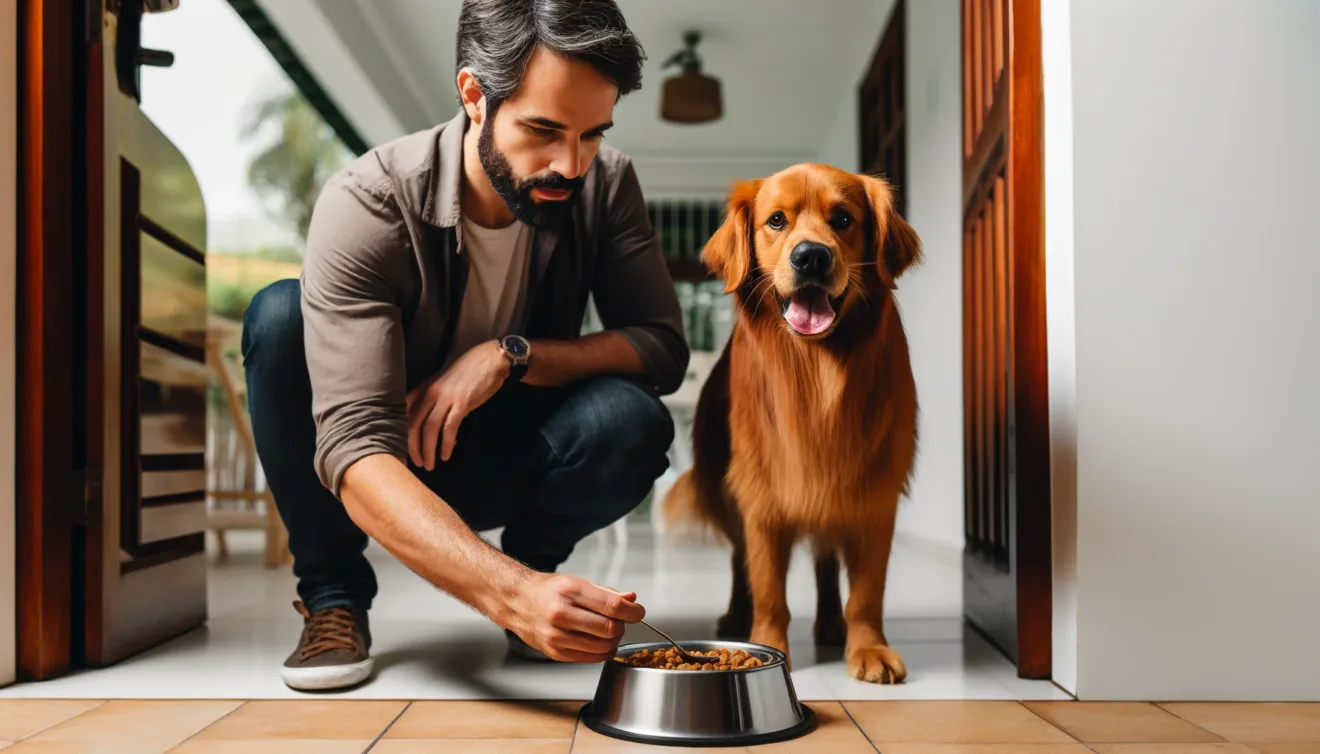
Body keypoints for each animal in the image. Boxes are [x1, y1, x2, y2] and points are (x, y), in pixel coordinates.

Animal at [665, 161, 924, 686]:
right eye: (777, 221)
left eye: (843, 219)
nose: (811, 257)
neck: (816, 372)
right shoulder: (762, 496)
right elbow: (768, 588)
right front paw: (768, 643)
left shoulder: (874, 495)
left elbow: (867, 592)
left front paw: (868, 648)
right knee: (740, 563)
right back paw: (736, 614)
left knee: (826, 565)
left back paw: (830, 622)